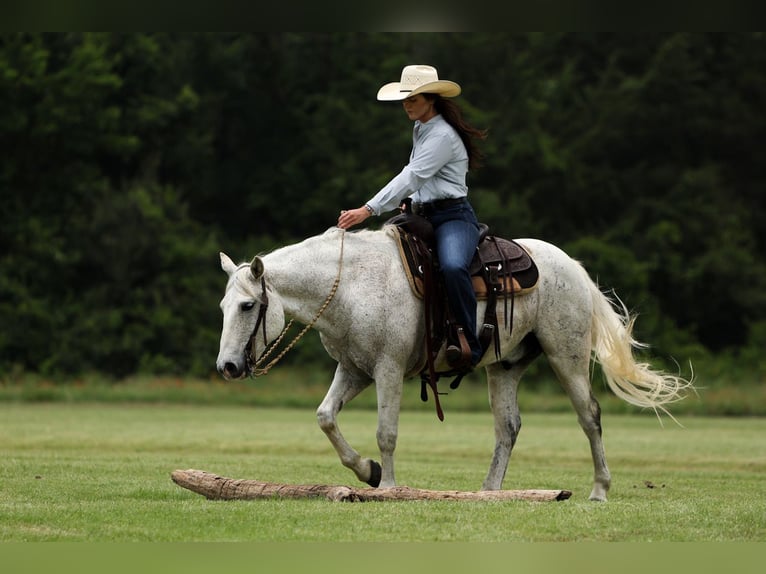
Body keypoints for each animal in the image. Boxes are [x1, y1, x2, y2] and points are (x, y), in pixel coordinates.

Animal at [216, 225, 692, 501]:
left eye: (246, 305)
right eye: (223, 306)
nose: (228, 368)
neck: (351, 284)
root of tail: (572, 266)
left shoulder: (388, 369)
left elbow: (386, 432)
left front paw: (388, 486)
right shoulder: (354, 369)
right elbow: (325, 417)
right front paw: (368, 471)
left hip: (567, 355)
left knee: (589, 416)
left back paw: (599, 489)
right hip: (505, 367)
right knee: (508, 426)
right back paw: (490, 493)